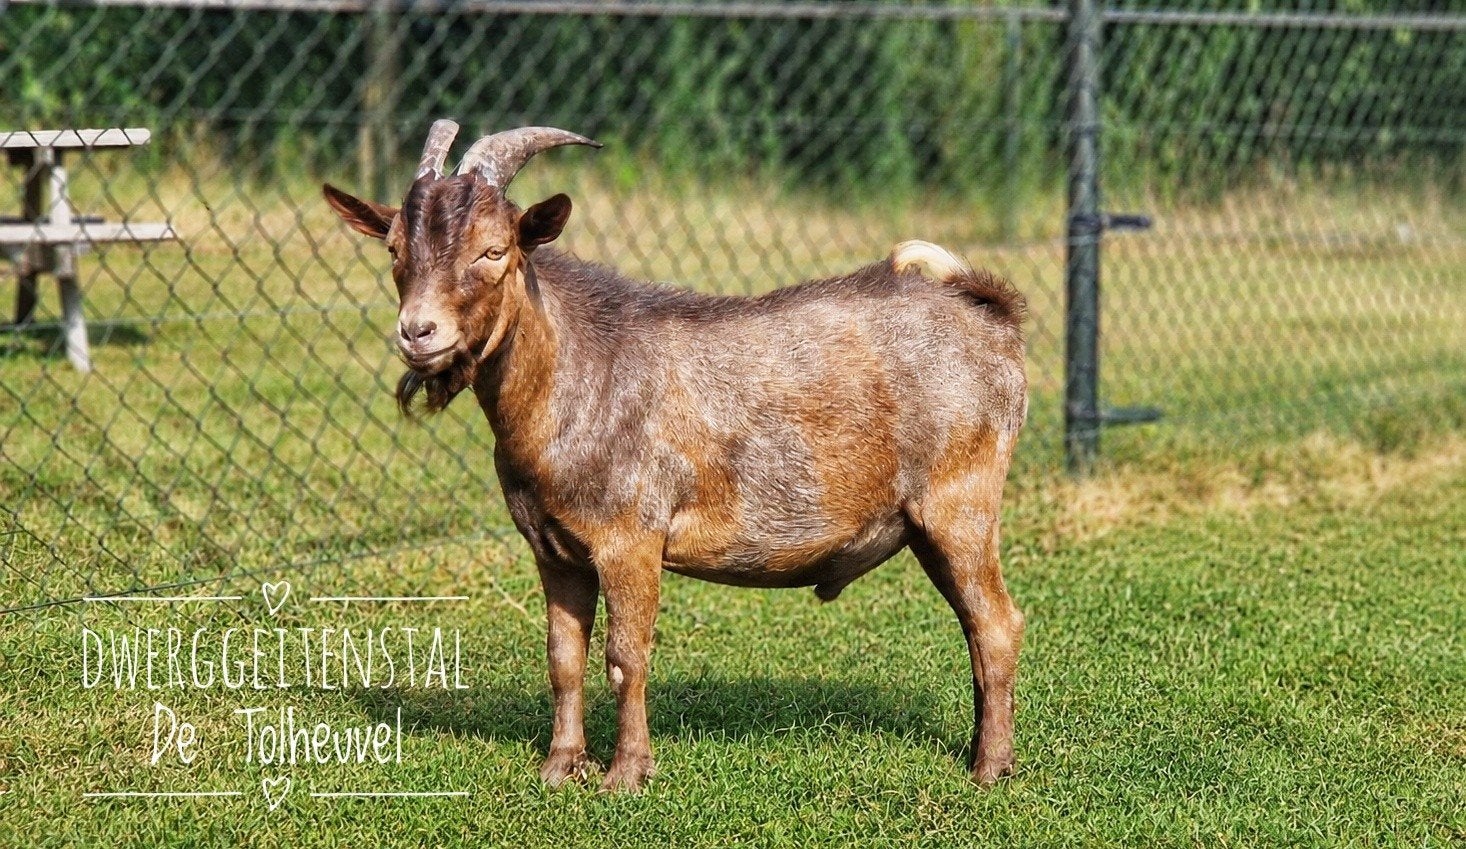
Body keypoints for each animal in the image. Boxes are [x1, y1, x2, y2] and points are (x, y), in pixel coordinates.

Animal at [324, 120, 1028, 793]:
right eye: (394, 250)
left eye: (494, 250)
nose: (417, 332)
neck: (577, 377)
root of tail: (992, 317)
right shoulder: (554, 549)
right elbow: (564, 656)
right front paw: (560, 768)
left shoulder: (629, 537)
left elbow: (626, 656)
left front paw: (627, 775)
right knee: (976, 626)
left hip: (959, 503)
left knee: (997, 623)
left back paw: (990, 769)